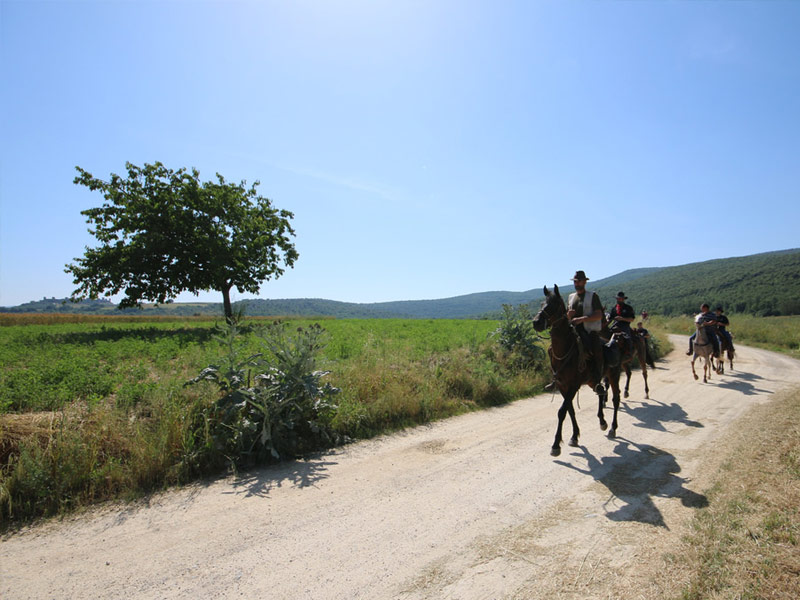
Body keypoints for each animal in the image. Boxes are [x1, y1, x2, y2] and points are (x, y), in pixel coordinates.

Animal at [536, 284, 624, 454]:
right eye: (542, 304)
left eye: (554, 304)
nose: (536, 322)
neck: (564, 350)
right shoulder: (562, 386)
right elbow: (570, 410)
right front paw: (574, 436)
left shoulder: (574, 385)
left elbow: (562, 411)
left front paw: (556, 445)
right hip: (592, 381)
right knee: (600, 392)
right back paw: (602, 421)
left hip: (614, 375)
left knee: (616, 398)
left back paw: (613, 428)